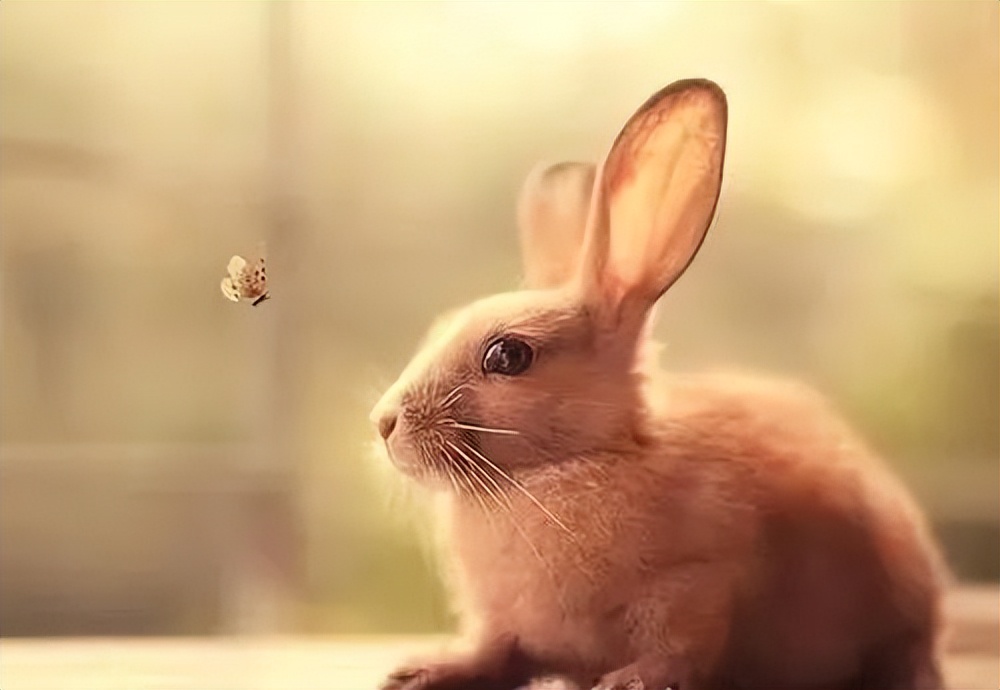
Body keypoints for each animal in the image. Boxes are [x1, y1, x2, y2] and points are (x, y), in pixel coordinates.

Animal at [369, 78, 949, 690]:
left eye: (508, 355)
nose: (384, 423)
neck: (560, 468)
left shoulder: (697, 586)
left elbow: (678, 652)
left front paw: (627, 682)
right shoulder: (506, 626)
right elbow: (493, 653)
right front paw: (422, 672)